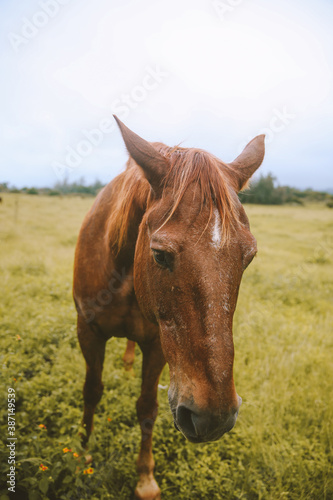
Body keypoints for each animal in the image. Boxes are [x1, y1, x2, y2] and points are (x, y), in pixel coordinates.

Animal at [73, 115, 264, 498]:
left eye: (249, 257)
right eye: (160, 254)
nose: (214, 417)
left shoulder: (157, 345)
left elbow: (147, 407)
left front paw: (145, 479)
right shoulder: (87, 331)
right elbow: (91, 392)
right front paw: (81, 454)